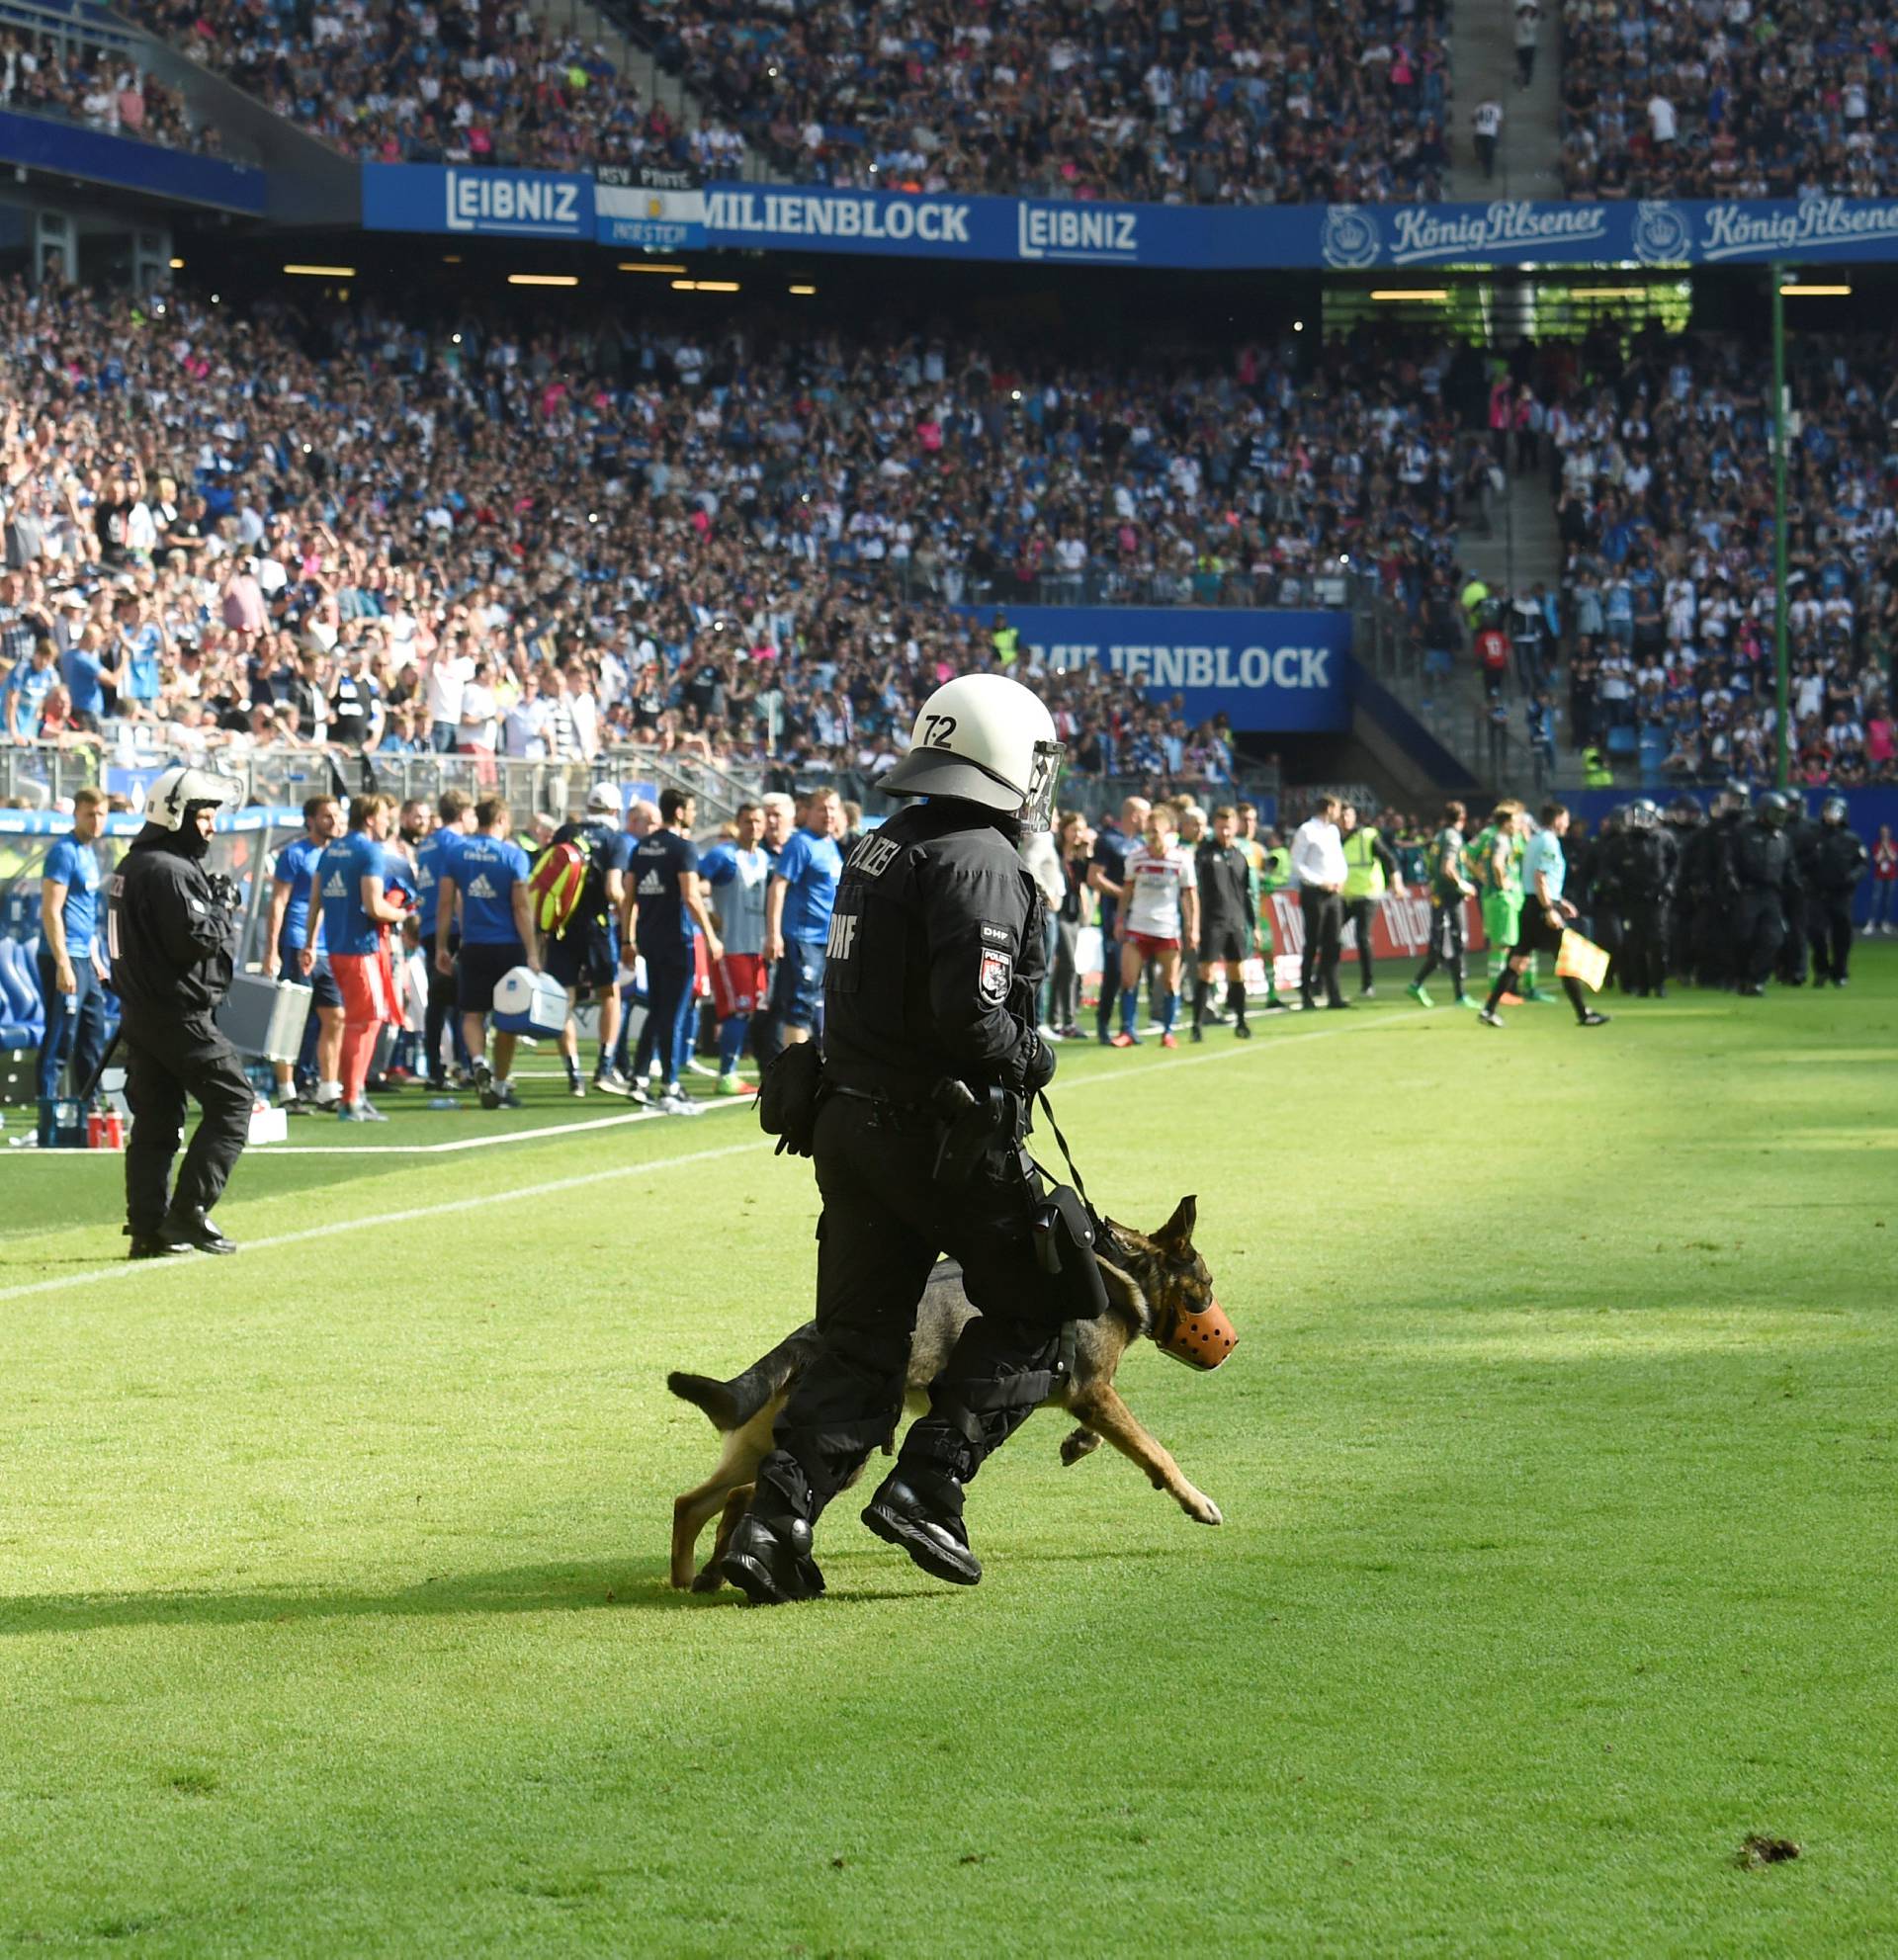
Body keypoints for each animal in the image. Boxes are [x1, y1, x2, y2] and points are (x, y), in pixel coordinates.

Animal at [666, 1191, 1231, 1591]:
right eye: (1206, 1285)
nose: (1231, 1345)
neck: (1122, 1271)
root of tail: (807, 1337)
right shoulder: (1093, 1392)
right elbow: (1155, 1451)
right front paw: (1197, 1502)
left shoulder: (1088, 1396)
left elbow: (1110, 1436)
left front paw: (1077, 1444)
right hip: (849, 1454)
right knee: (746, 1496)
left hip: (768, 1439)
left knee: (699, 1500)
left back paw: (694, 1577)